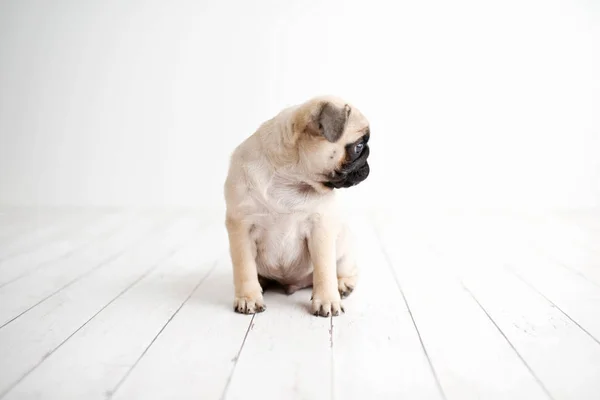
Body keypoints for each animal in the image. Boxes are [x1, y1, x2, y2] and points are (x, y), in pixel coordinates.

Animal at [224, 95, 370, 318]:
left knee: (347, 269)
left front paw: (327, 300)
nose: (368, 163)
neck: (290, 179)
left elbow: (324, 269)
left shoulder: (321, 228)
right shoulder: (241, 228)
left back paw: (343, 285)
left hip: (344, 248)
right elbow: (244, 269)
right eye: (358, 147)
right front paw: (248, 297)